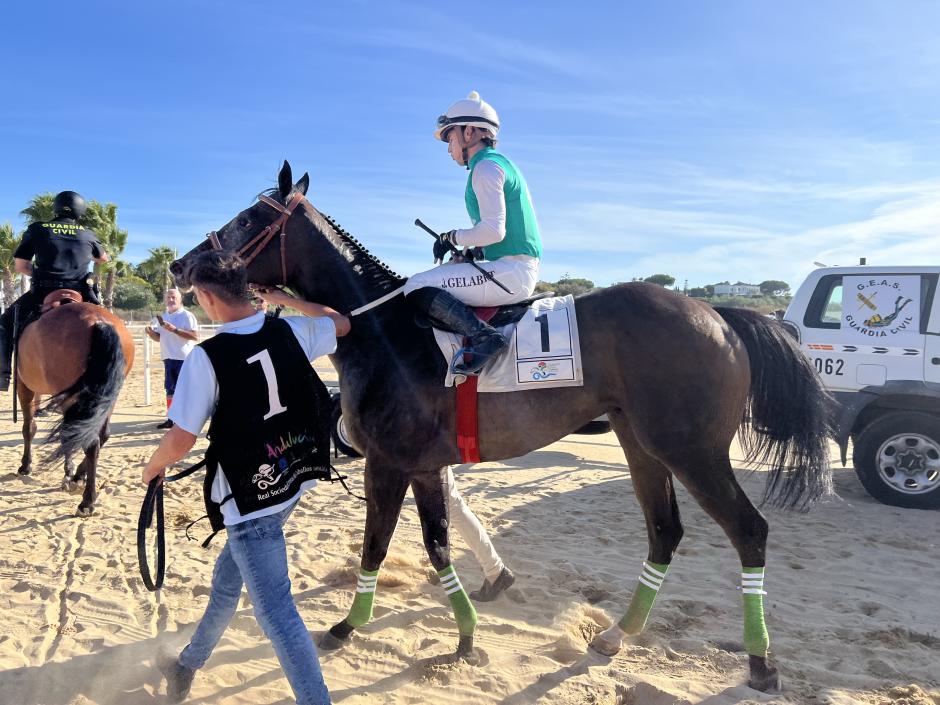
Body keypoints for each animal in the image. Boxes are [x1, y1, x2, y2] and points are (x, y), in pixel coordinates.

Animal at [14, 288, 134, 516]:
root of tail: (99, 322)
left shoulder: (25, 387)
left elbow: (29, 428)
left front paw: (26, 466)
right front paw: (71, 472)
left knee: (87, 440)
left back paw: (86, 501)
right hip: (106, 397)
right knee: (98, 435)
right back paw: (80, 476)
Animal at [171, 161, 828, 692]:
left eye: (251, 216)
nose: (181, 264)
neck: (382, 329)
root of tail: (717, 313)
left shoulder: (389, 462)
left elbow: (377, 545)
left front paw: (347, 626)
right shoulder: (424, 466)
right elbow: (436, 545)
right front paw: (465, 637)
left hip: (693, 451)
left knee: (749, 531)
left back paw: (761, 663)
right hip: (641, 444)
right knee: (665, 532)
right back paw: (617, 635)